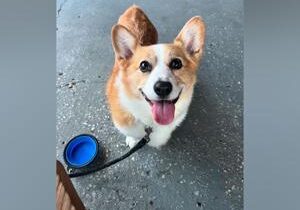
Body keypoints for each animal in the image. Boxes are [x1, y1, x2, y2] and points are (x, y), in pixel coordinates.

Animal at [105, 5, 204, 148]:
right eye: (143, 65)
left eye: (177, 63)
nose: (162, 88)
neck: (150, 121)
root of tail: (134, 7)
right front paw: (132, 140)